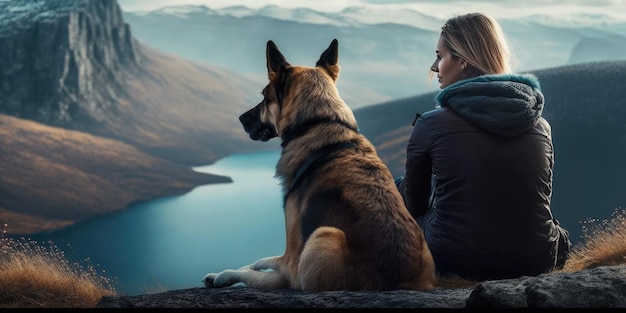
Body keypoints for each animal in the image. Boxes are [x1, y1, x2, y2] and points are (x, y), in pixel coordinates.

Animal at [204, 39, 434, 290]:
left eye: (265, 96)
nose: (241, 119)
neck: (318, 121)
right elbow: (261, 262)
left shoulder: (292, 262)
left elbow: (259, 266)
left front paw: (222, 275)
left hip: (324, 235)